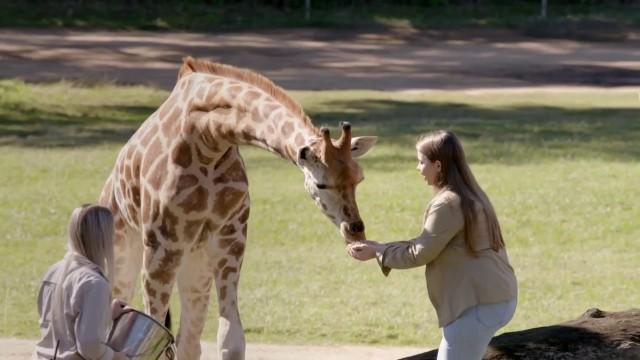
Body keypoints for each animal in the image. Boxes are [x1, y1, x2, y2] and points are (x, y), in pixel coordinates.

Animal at [99, 57, 376, 360]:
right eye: (321, 183)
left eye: (359, 178)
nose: (355, 230)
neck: (208, 139)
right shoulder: (162, 246)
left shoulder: (229, 239)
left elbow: (230, 339)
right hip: (126, 253)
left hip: (195, 263)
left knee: (189, 340)